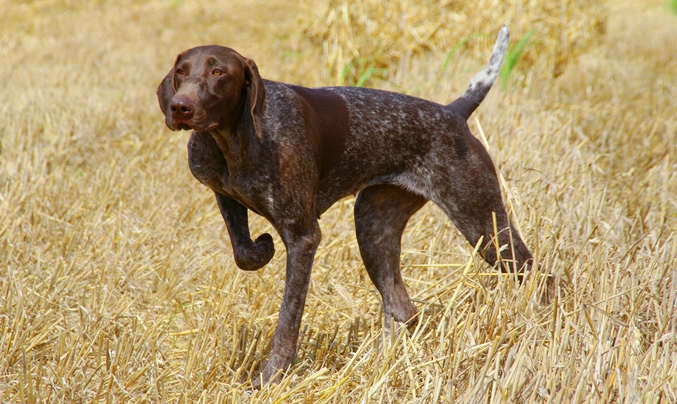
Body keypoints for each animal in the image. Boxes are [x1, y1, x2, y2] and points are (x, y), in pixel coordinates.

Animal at [158, 26, 532, 386]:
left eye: (218, 71)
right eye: (181, 71)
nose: (179, 106)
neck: (236, 138)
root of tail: (452, 112)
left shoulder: (303, 237)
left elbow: (288, 318)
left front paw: (272, 376)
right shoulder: (224, 193)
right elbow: (244, 252)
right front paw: (261, 249)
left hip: (482, 223)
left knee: (534, 272)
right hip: (373, 226)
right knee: (401, 306)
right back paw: (382, 364)